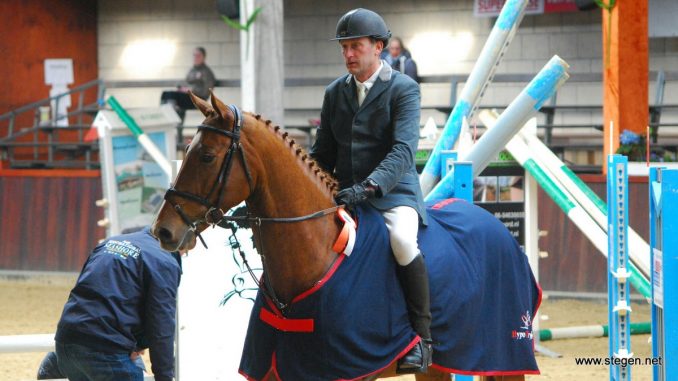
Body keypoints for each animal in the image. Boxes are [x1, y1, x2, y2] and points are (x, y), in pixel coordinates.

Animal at [153, 93, 532, 380]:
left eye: (206, 156)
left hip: (505, 357)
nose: (163, 230)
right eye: (187, 152)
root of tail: (497, 227)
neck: (316, 251)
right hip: (440, 365)